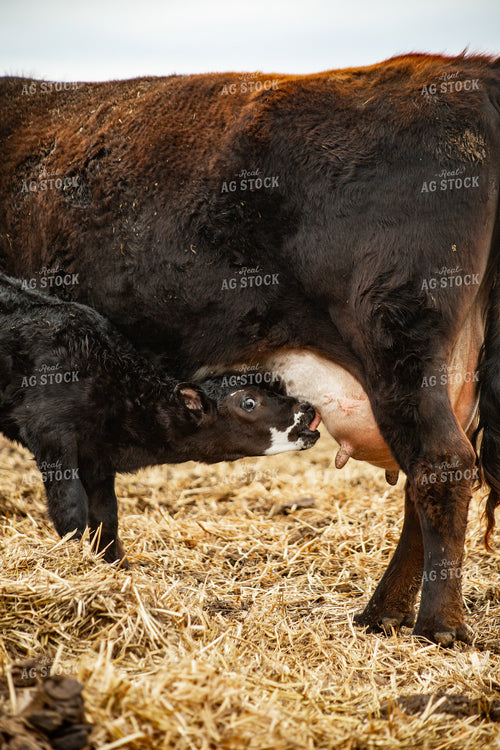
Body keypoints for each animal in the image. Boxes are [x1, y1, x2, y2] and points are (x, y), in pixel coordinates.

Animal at [0, 272, 320, 566]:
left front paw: (116, 565)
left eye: (273, 385)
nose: (308, 409)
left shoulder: (97, 458)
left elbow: (105, 515)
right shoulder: (50, 432)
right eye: (249, 402)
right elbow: (70, 507)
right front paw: (72, 558)